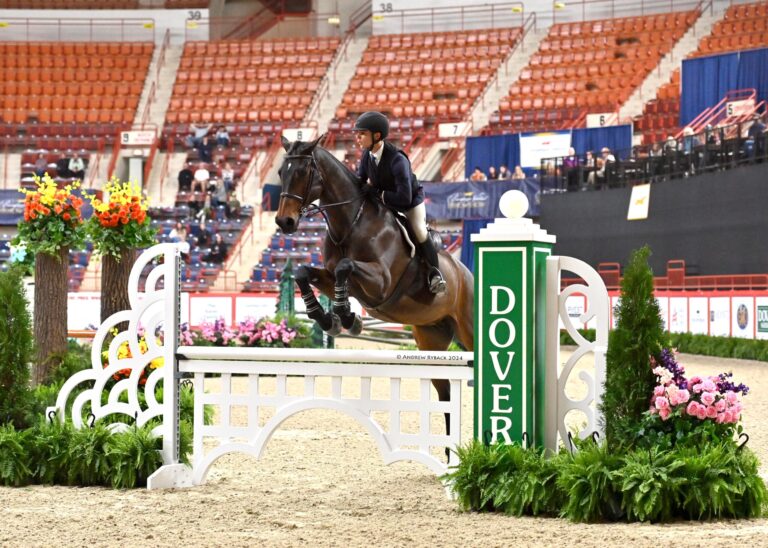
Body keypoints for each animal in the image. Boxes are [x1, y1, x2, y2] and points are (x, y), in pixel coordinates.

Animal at [272, 136, 476, 416]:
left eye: (303, 172)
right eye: (281, 173)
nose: (285, 222)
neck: (350, 224)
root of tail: (468, 274)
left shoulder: (381, 283)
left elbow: (345, 266)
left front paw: (347, 318)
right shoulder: (332, 278)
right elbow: (305, 272)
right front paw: (327, 319)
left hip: (469, 329)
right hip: (431, 338)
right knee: (445, 394)